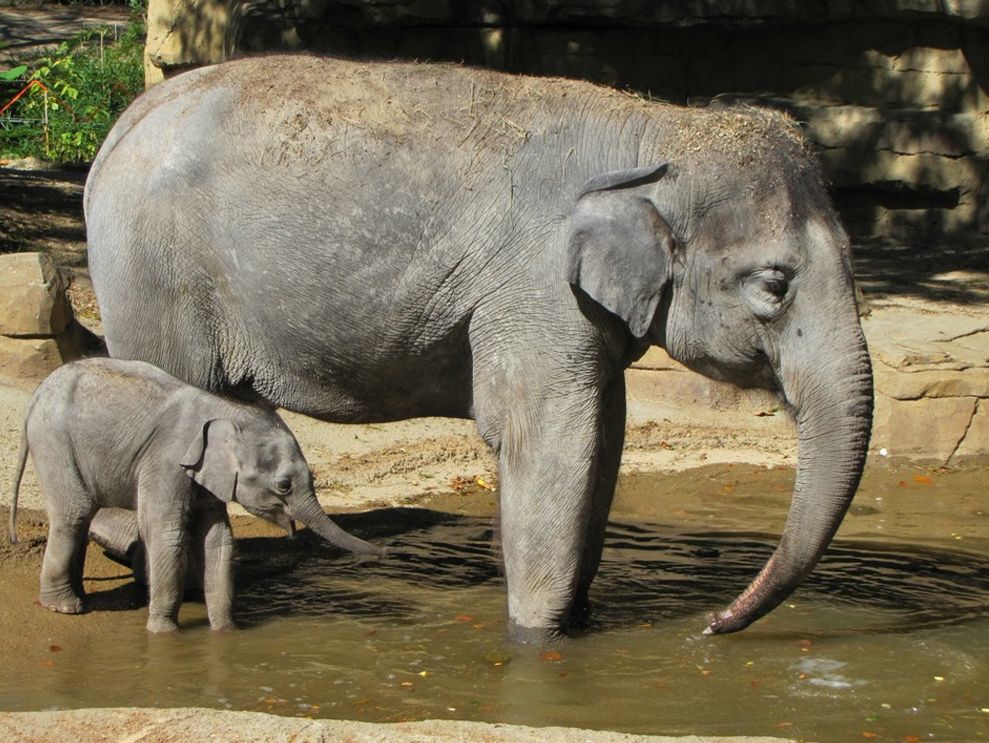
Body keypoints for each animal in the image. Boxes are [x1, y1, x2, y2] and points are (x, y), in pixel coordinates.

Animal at [9, 358, 380, 632]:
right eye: (284, 486)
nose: (385, 551)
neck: (226, 410)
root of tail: (37, 395)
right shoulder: (166, 460)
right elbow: (166, 532)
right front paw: (163, 633)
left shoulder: (206, 476)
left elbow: (217, 537)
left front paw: (226, 631)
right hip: (54, 442)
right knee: (74, 513)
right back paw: (66, 607)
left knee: (81, 517)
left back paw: (75, 598)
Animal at [85, 55, 872, 644]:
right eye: (773, 285)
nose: (712, 623)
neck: (660, 129)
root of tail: (120, 128)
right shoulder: (534, 287)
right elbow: (550, 436)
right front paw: (537, 641)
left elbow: (605, 435)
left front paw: (576, 623)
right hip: (154, 279)